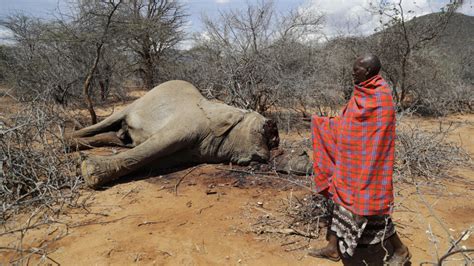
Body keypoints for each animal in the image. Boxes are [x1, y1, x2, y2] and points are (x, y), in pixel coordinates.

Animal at [68, 80, 310, 188]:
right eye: (267, 132)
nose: (273, 126)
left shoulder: (196, 151)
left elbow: (155, 159)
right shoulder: (190, 123)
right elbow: (157, 144)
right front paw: (88, 171)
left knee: (117, 138)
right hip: (137, 101)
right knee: (107, 123)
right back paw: (66, 143)